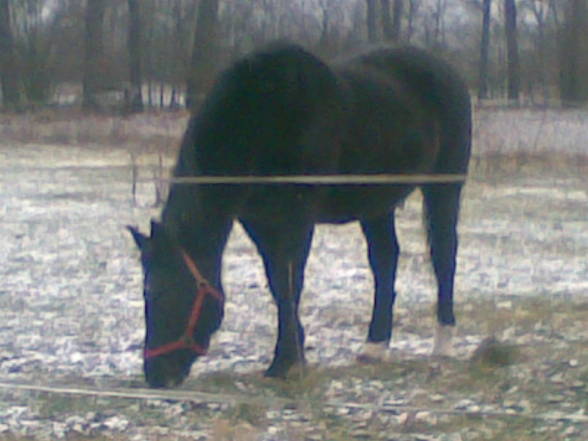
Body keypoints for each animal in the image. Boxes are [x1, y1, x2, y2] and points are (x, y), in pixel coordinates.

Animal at [130, 40, 474, 384]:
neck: (262, 119)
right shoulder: (259, 222)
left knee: (444, 255)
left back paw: (443, 341)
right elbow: (277, 282)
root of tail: (447, 71)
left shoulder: (297, 217)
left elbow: (290, 283)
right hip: (376, 202)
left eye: (163, 293)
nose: (155, 375)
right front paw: (295, 353)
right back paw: (375, 345)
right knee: (385, 259)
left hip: (443, 189)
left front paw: (285, 361)